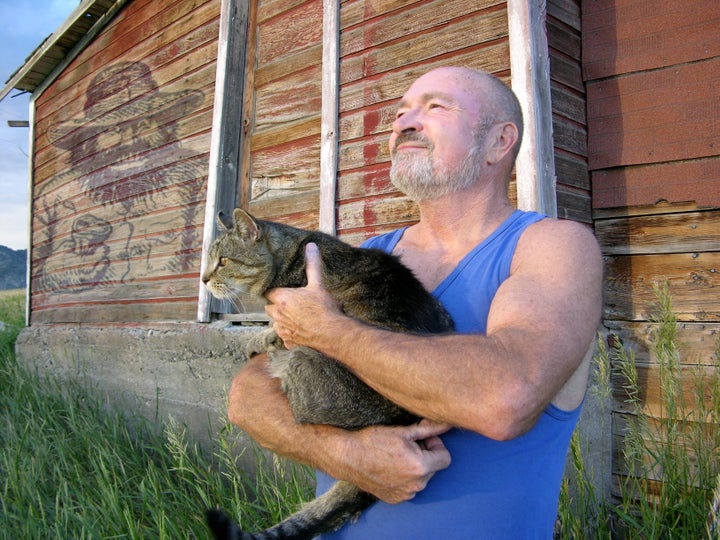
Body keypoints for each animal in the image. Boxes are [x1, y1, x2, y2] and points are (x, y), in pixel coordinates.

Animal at [200, 209, 452, 540]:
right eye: (210, 260)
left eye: (224, 261)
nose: (203, 279)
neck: (288, 256)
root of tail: (406, 418)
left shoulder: (292, 317)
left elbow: (276, 330)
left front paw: (260, 338)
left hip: (302, 359)